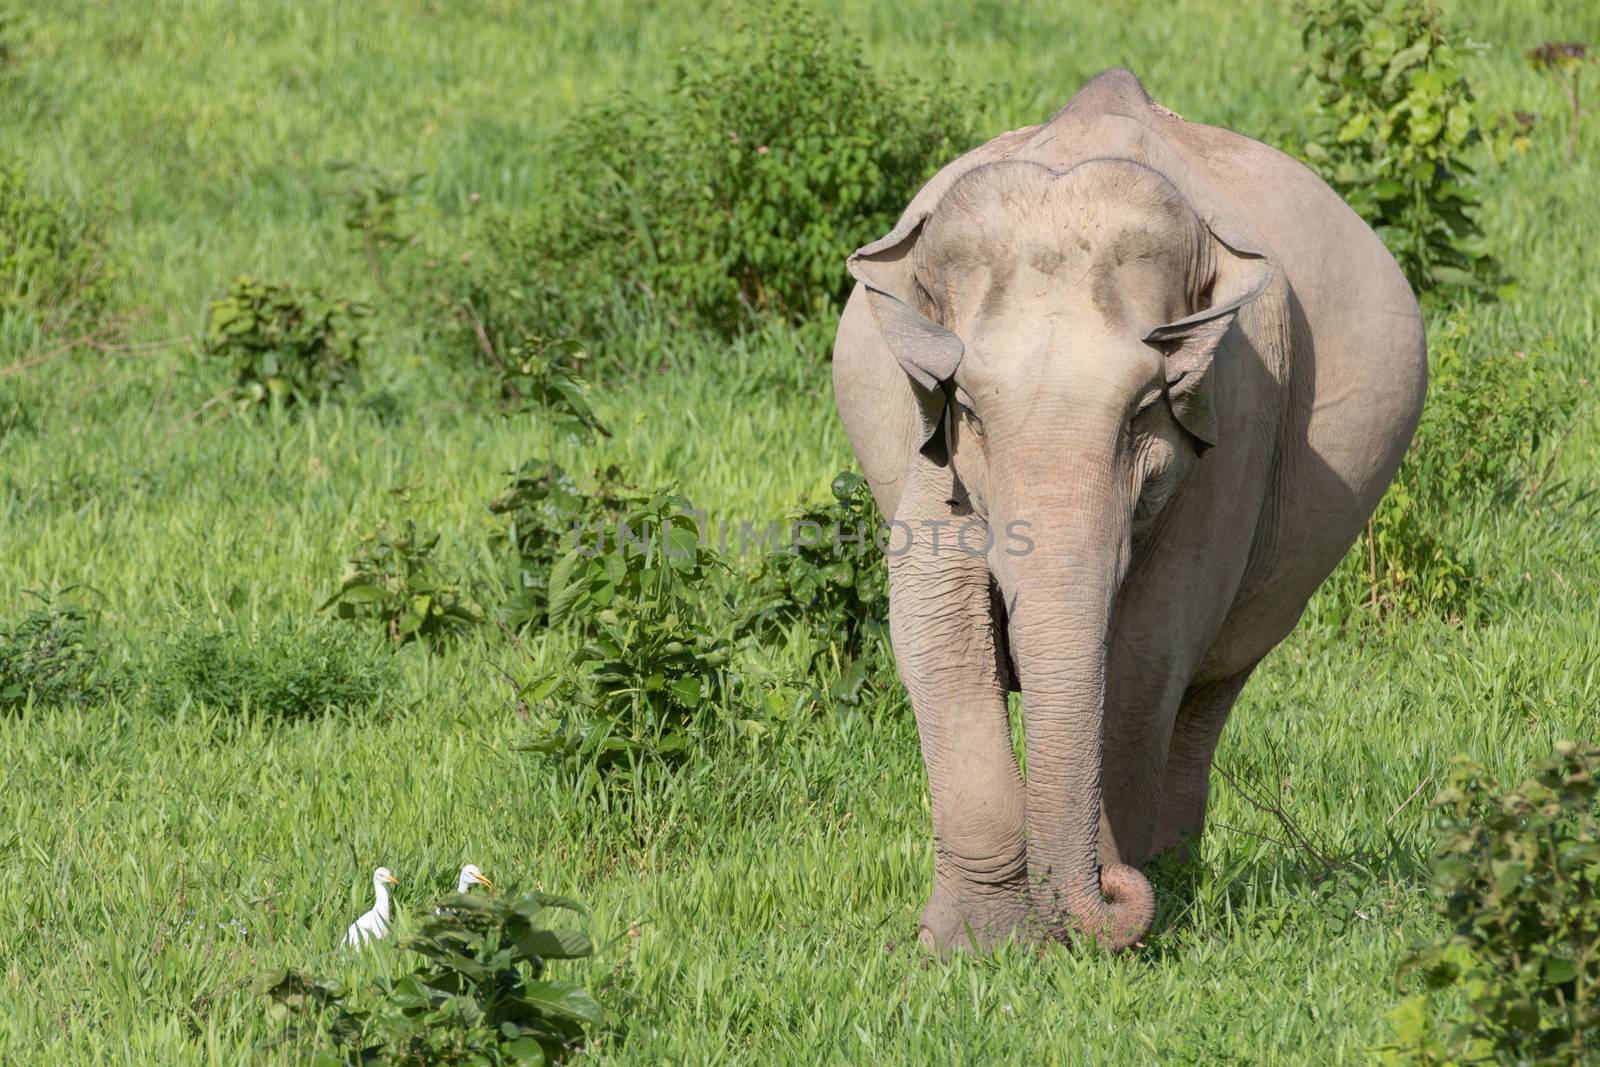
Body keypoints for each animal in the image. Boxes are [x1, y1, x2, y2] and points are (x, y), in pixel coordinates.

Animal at [838, 68, 1427, 953]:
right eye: (969, 408)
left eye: (1145, 408)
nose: (1114, 894)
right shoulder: (926, 443)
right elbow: (931, 621)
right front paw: (972, 947)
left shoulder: (1235, 410)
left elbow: (1151, 642)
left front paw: (1104, 920)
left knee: (1212, 680)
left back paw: (1174, 874)